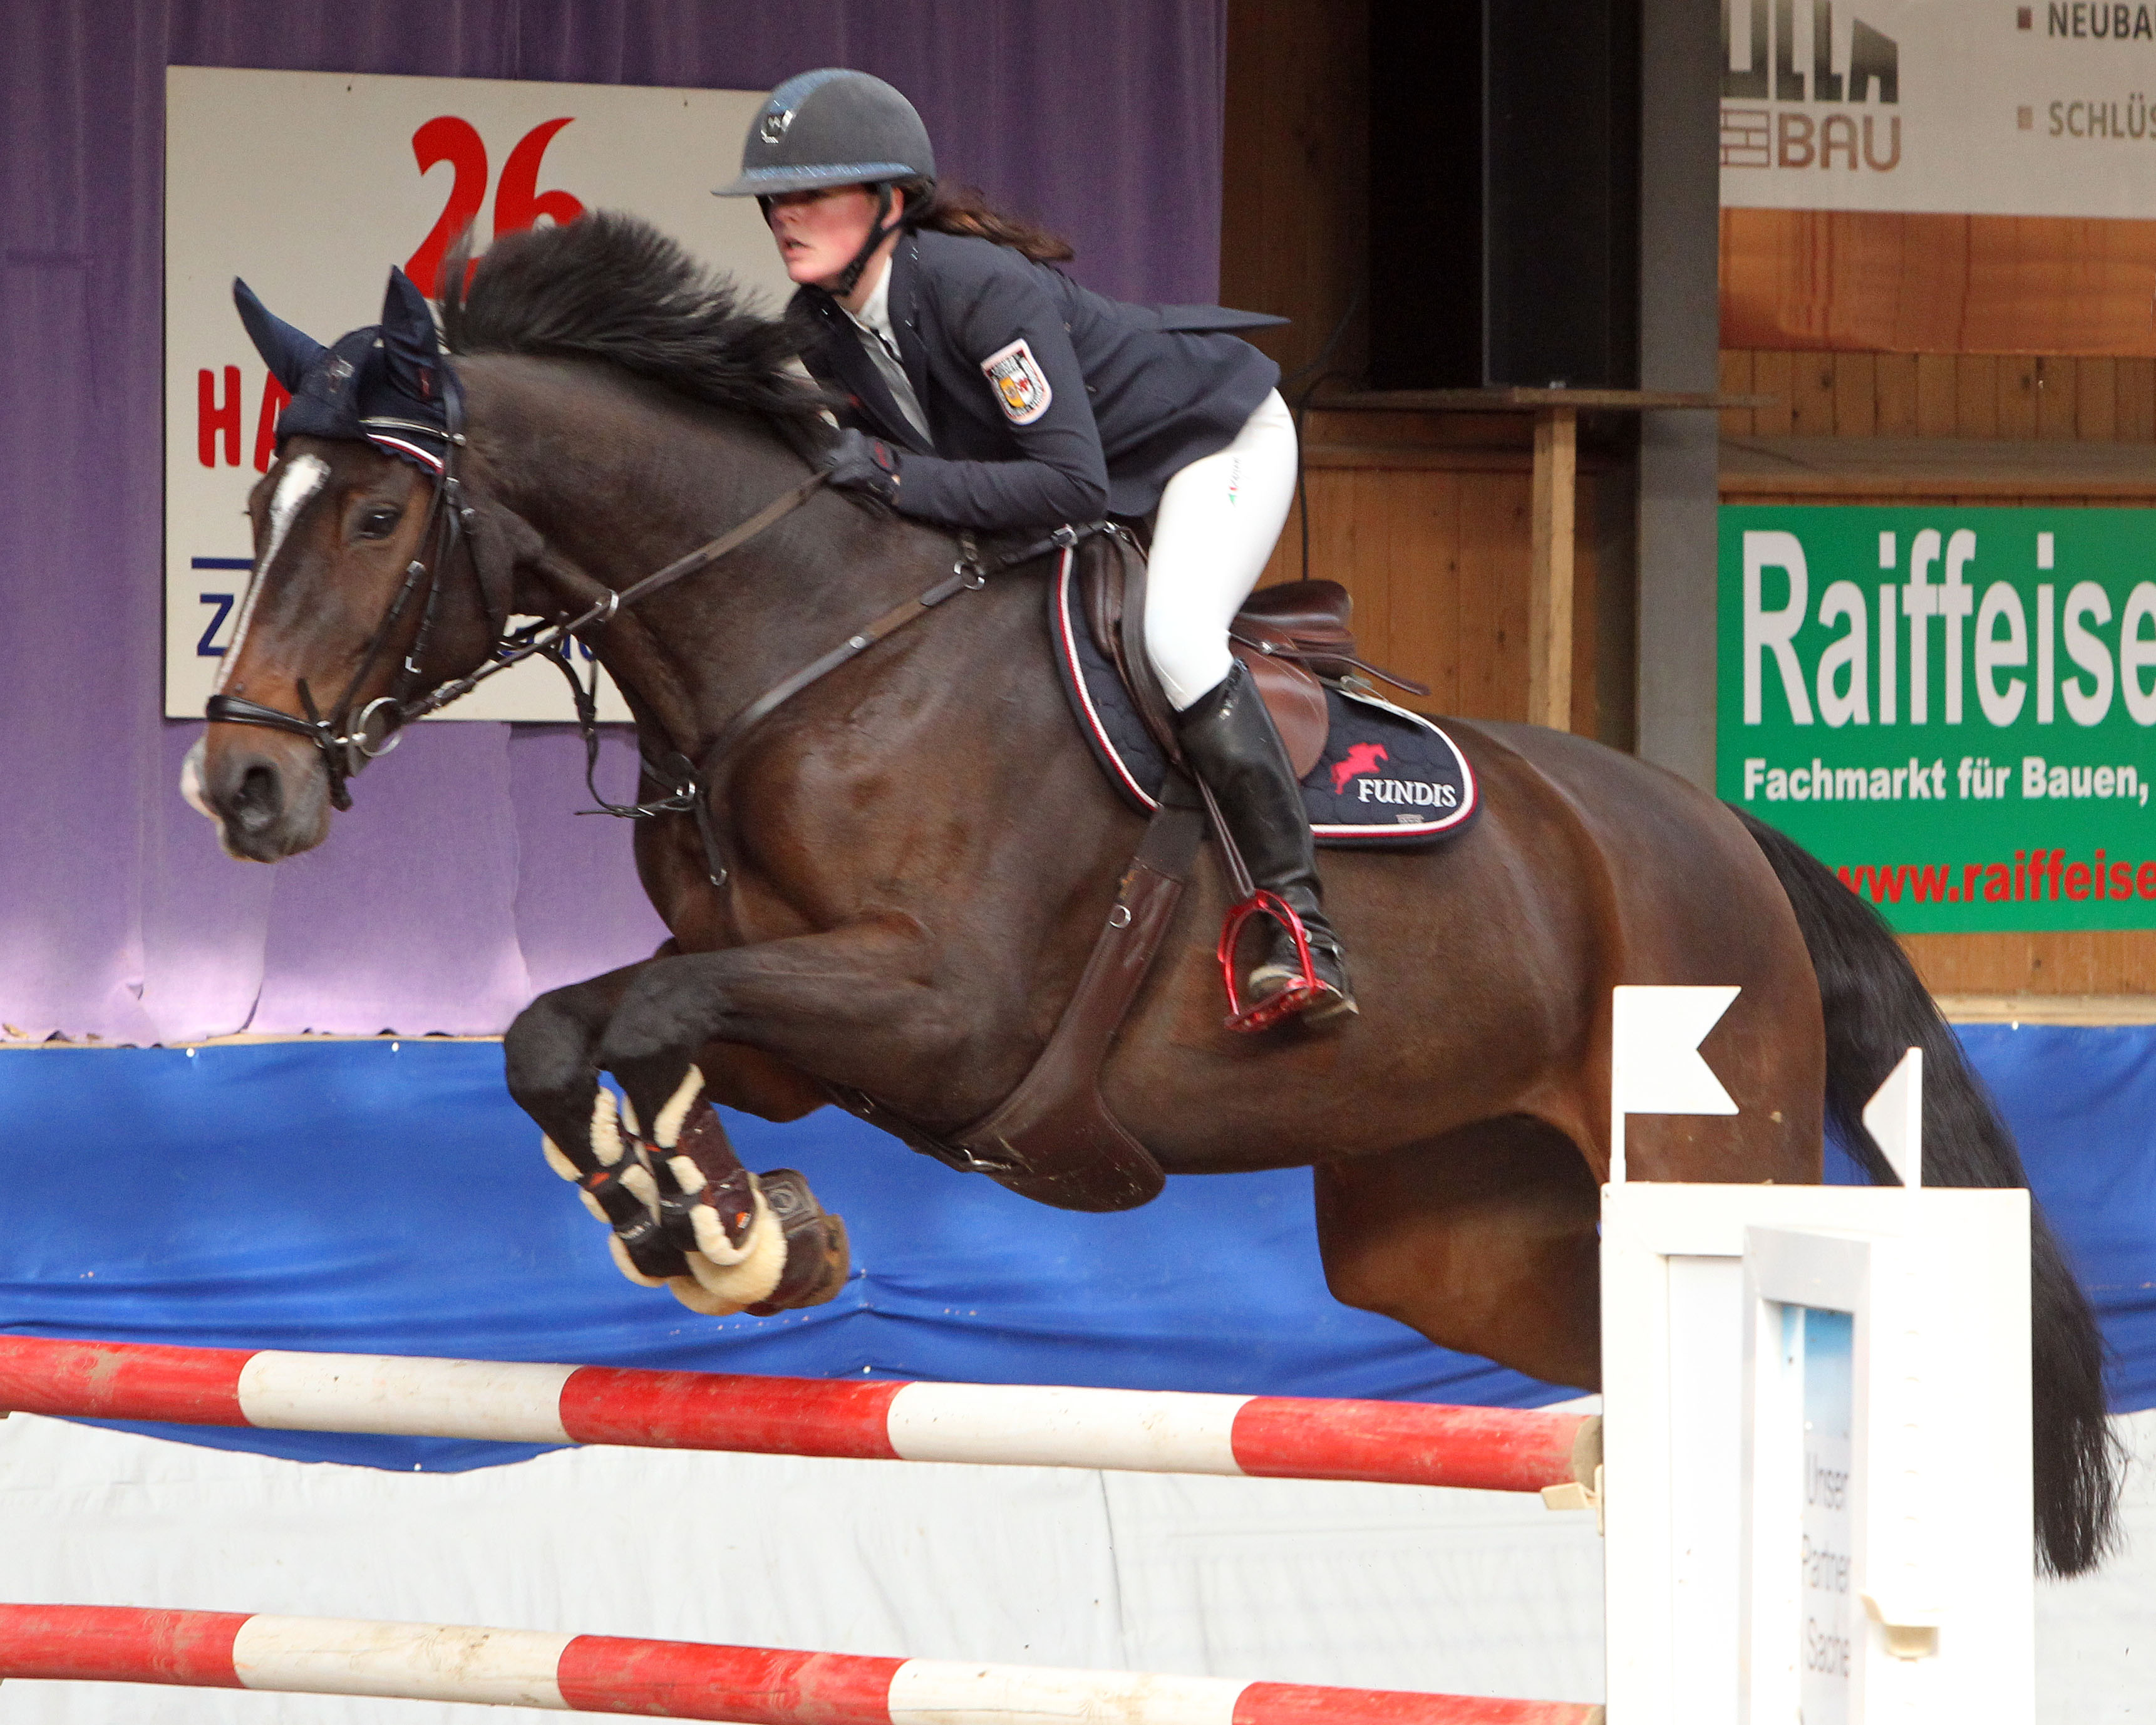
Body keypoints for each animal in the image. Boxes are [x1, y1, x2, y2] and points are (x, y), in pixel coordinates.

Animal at [193, 215, 2113, 1578]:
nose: (242, 786)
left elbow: (641, 1010)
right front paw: (731, 1230)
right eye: (260, 499)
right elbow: (569, 1027)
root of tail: (1725, 839)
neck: (805, 653)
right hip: (1453, 1232)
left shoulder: (938, 1009)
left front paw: (719, 1226)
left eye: (374, 517)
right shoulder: (797, 1017)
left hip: (1696, 1157)